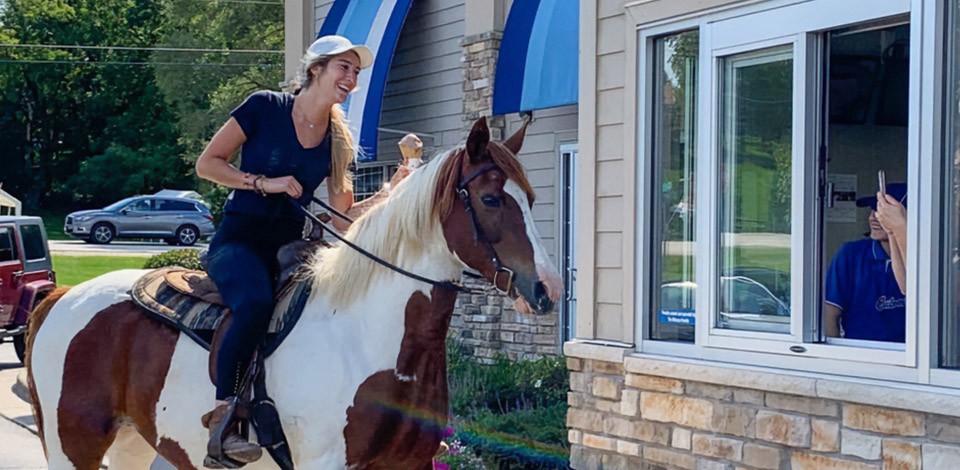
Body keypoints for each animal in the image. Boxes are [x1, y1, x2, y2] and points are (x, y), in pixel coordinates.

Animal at [24, 118, 564, 470]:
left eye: (533, 199)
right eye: (490, 199)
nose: (547, 288)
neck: (364, 335)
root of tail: (62, 298)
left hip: (132, 443)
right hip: (74, 445)